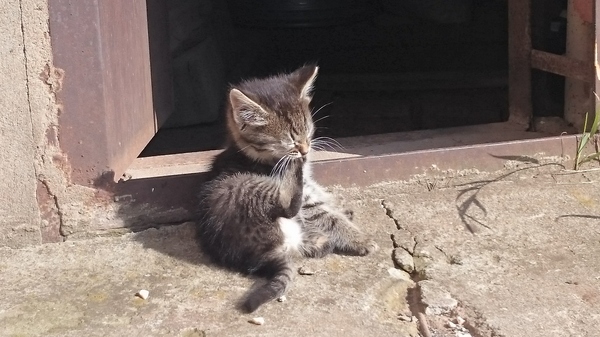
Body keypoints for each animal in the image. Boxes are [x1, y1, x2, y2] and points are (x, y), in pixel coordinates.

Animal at [197, 64, 378, 312]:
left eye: (308, 131)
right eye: (290, 141)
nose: (305, 151)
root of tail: (260, 255)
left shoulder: (311, 186)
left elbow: (322, 196)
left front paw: (341, 209)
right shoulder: (307, 201)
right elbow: (326, 214)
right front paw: (359, 238)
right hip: (244, 187)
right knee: (289, 205)